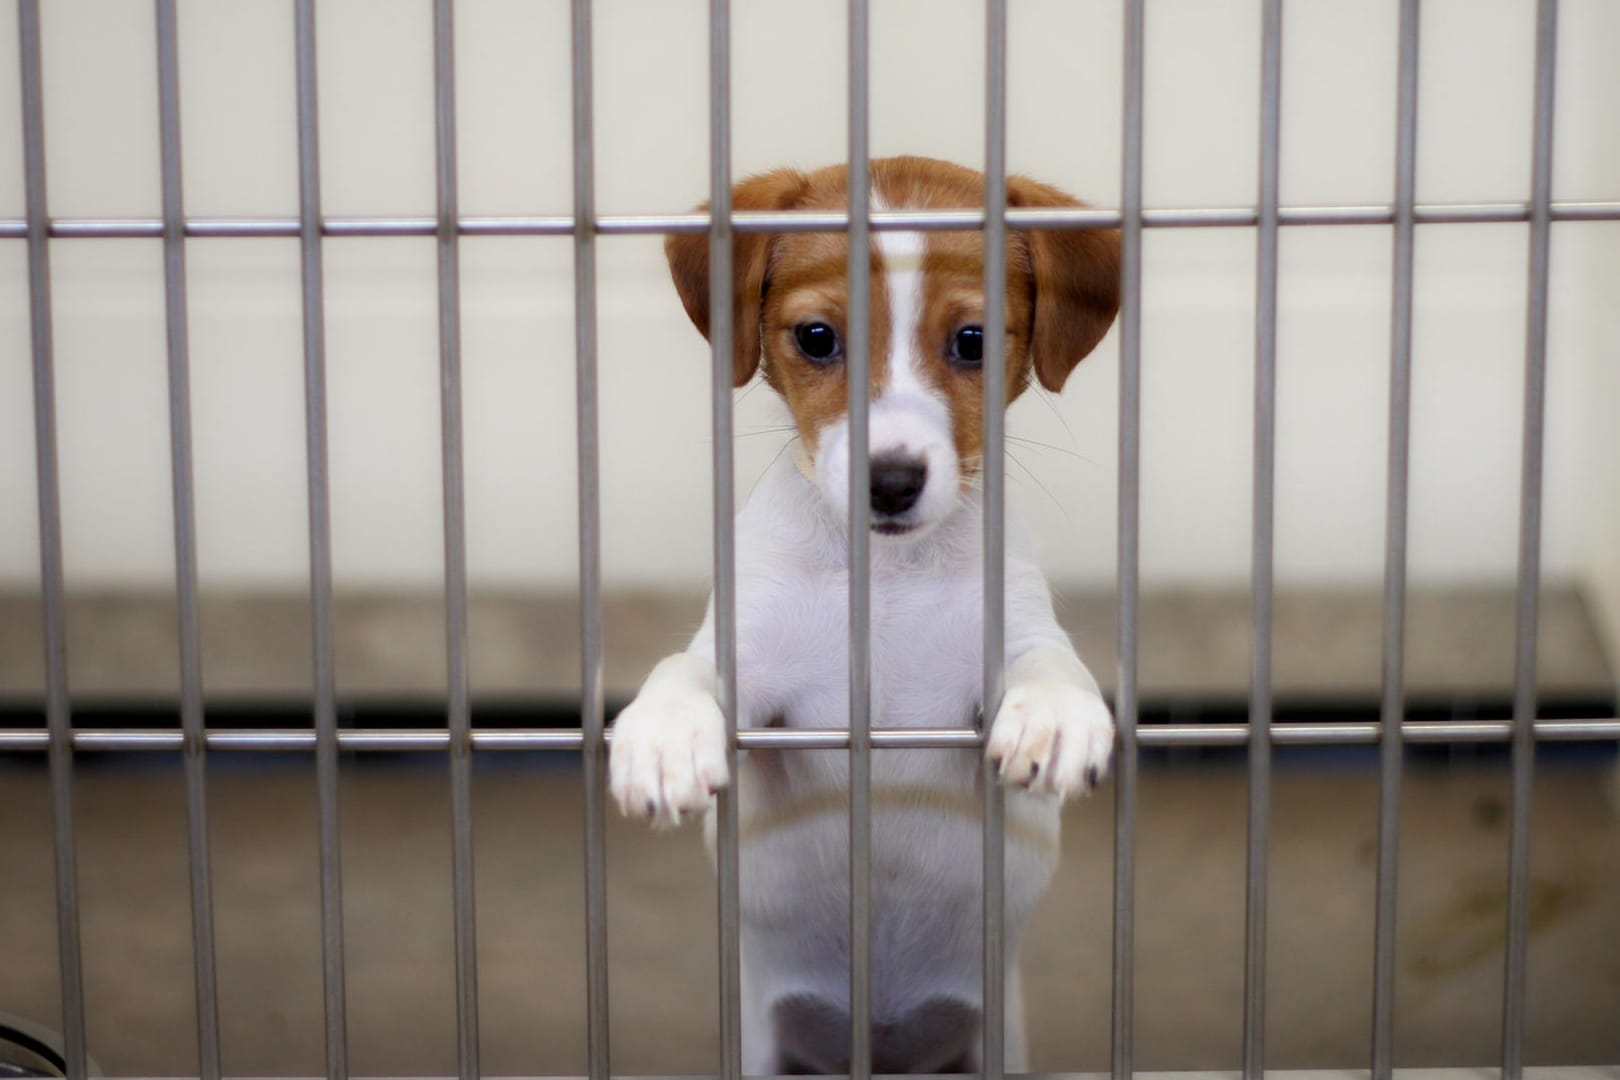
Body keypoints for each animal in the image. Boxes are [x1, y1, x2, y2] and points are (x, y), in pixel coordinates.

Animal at [602, 156, 1121, 1075]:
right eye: (816, 337)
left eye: (974, 341)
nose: (890, 481)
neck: (887, 578)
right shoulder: (754, 665)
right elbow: (686, 669)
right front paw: (663, 738)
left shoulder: (1010, 630)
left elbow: (1048, 660)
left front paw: (1057, 716)